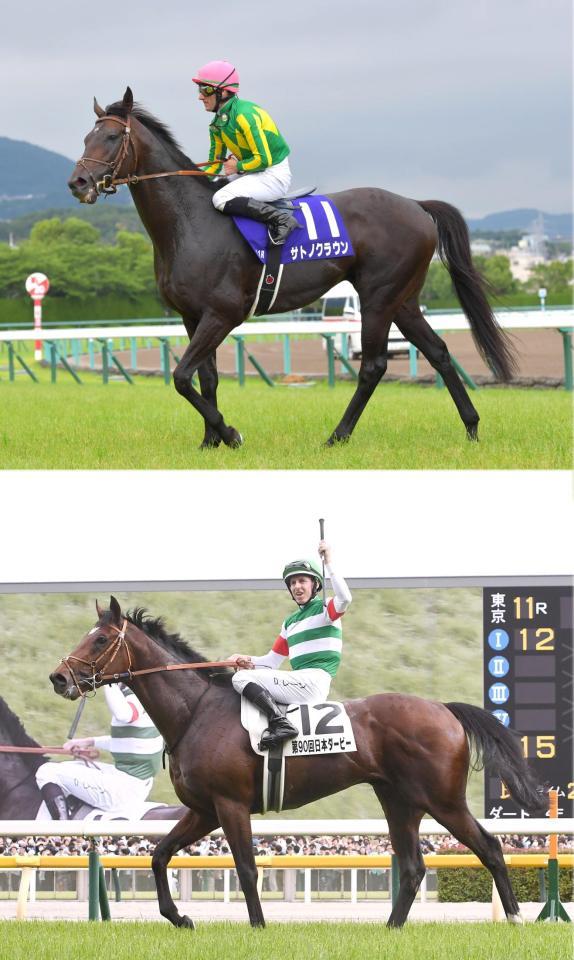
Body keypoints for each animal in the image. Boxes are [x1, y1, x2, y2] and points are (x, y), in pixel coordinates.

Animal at [49, 597, 544, 929]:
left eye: (99, 639)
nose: (58, 677)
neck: (197, 712)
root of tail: (444, 709)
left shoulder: (229, 805)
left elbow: (247, 868)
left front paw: (258, 927)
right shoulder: (204, 809)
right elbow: (158, 855)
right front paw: (180, 918)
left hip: (443, 800)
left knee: (490, 848)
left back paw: (517, 919)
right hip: (399, 802)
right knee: (412, 867)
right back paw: (390, 929)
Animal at [67, 87, 517, 449]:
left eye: (111, 137)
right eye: (86, 137)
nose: (78, 183)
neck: (190, 223)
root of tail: (416, 205)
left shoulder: (222, 314)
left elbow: (180, 376)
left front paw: (230, 434)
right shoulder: (191, 316)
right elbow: (204, 378)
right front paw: (210, 441)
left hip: (378, 296)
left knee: (373, 366)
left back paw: (337, 435)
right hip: (403, 299)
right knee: (438, 352)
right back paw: (472, 427)